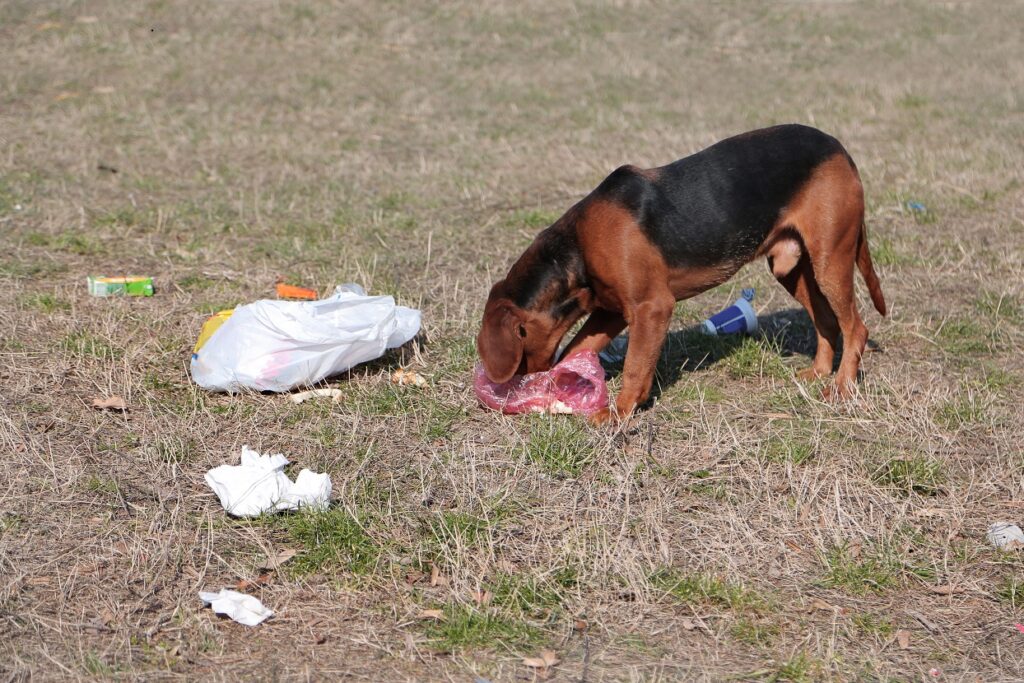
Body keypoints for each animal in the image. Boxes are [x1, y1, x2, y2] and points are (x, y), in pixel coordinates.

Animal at [475, 124, 884, 421]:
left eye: (519, 345)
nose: (520, 384)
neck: (576, 249)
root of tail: (840, 149)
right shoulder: (610, 310)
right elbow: (579, 347)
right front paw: (569, 384)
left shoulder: (651, 308)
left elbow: (636, 367)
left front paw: (618, 411)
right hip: (792, 267)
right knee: (828, 322)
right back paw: (818, 373)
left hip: (831, 259)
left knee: (856, 328)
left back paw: (842, 387)